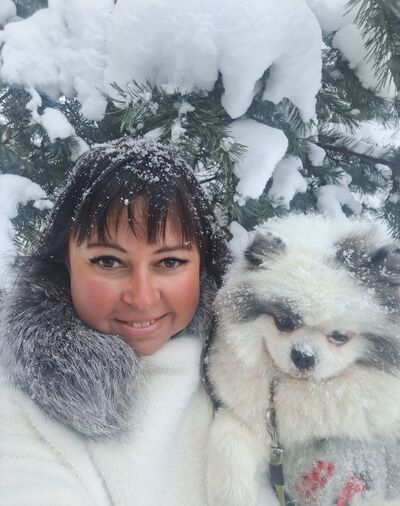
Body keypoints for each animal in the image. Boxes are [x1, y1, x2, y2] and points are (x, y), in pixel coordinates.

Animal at [205, 214, 400, 506]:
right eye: (283, 322)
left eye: (340, 336)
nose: (303, 356)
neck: (301, 389)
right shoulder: (254, 424)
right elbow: (230, 443)